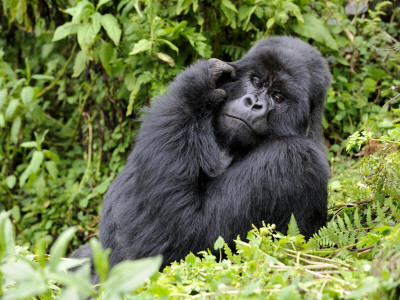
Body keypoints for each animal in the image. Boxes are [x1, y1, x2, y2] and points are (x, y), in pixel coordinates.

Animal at [72, 35, 332, 272]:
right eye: (257, 82)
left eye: (278, 97)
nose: (253, 103)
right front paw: (201, 84)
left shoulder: (292, 158)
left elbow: (181, 238)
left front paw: (194, 88)